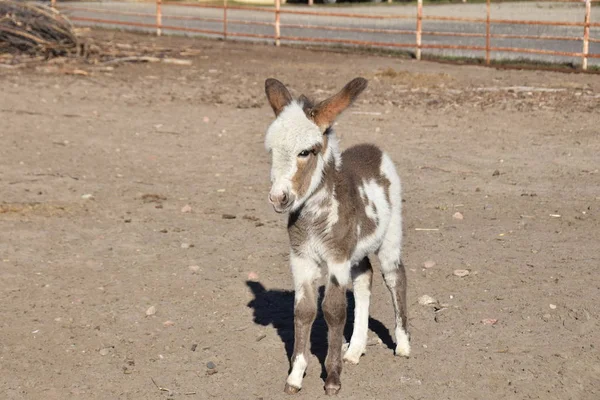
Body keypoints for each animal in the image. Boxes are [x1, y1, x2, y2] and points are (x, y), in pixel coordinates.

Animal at [264, 77, 410, 394]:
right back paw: (354, 350)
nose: (279, 198)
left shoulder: (336, 259)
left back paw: (404, 345)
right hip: (356, 251)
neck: (315, 216)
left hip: (390, 235)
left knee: (395, 276)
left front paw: (332, 378)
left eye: (306, 152)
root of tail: (373, 149)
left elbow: (333, 310)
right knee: (365, 277)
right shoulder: (301, 259)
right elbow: (304, 311)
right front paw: (295, 376)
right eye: (271, 151)